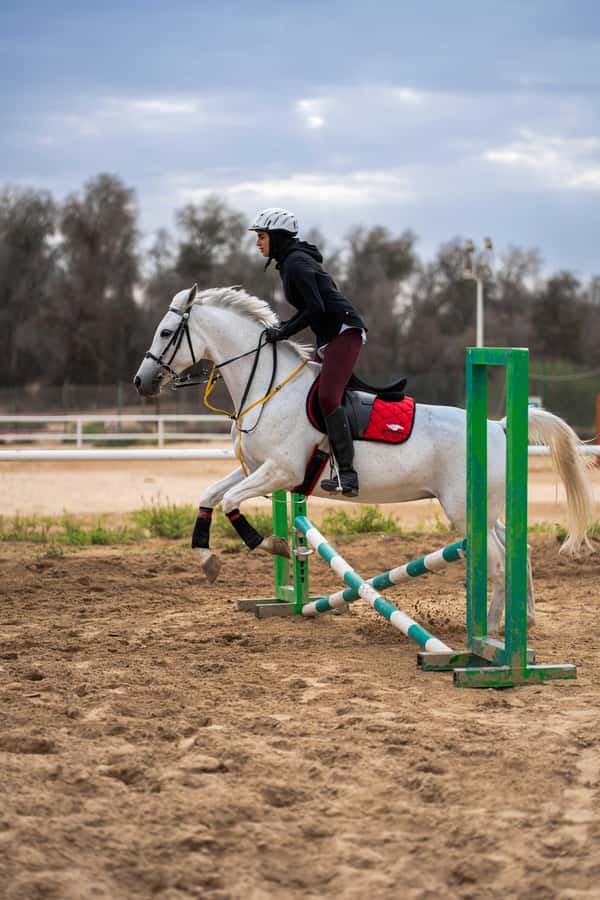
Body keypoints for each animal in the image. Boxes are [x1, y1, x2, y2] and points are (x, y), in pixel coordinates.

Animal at [134, 284, 594, 633]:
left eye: (166, 332)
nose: (141, 382)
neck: (267, 387)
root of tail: (497, 427)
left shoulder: (280, 471)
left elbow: (231, 502)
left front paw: (276, 545)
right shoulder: (260, 469)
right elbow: (210, 495)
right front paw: (208, 560)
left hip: (466, 512)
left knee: (497, 560)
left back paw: (491, 633)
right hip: (483, 510)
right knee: (515, 550)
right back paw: (521, 620)